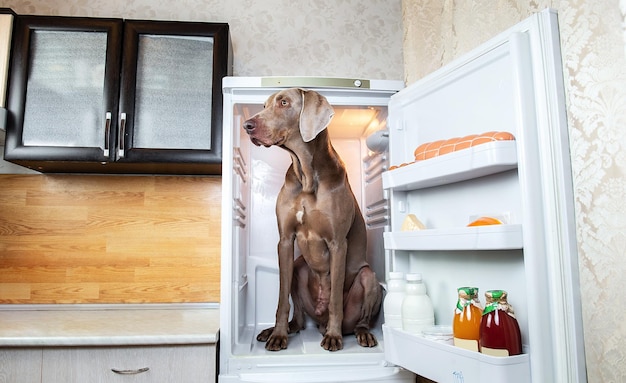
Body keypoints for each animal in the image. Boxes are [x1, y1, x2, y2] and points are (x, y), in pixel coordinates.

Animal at [243, 87, 380, 352]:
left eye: (284, 103)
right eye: (264, 106)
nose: (247, 125)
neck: (305, 175)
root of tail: (319, 322)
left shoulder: (338, 244)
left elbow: (335, 299)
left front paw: (334, 337)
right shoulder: (285, 240)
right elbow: (282, 298)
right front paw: (278, 334)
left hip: (370, 279)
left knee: (361, 316)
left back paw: (359, 333)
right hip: (298, 267)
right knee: (297, 315)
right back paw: (279, 330)